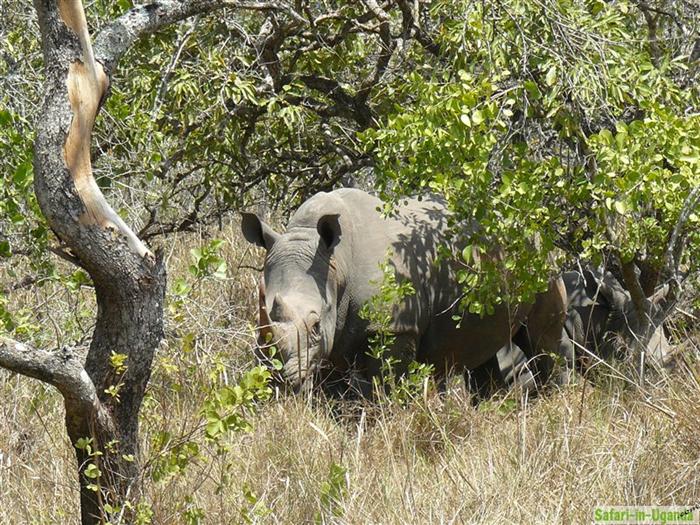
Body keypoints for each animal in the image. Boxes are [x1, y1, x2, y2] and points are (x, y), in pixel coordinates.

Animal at [242, 188, 567, 395]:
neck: (335, 265)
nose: (283, 378)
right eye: (264, 322)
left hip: (539, 258)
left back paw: (553, 400)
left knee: (541, 341)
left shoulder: (394, 327)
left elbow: (386, 387)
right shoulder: (332, 341)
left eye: (316, 324)